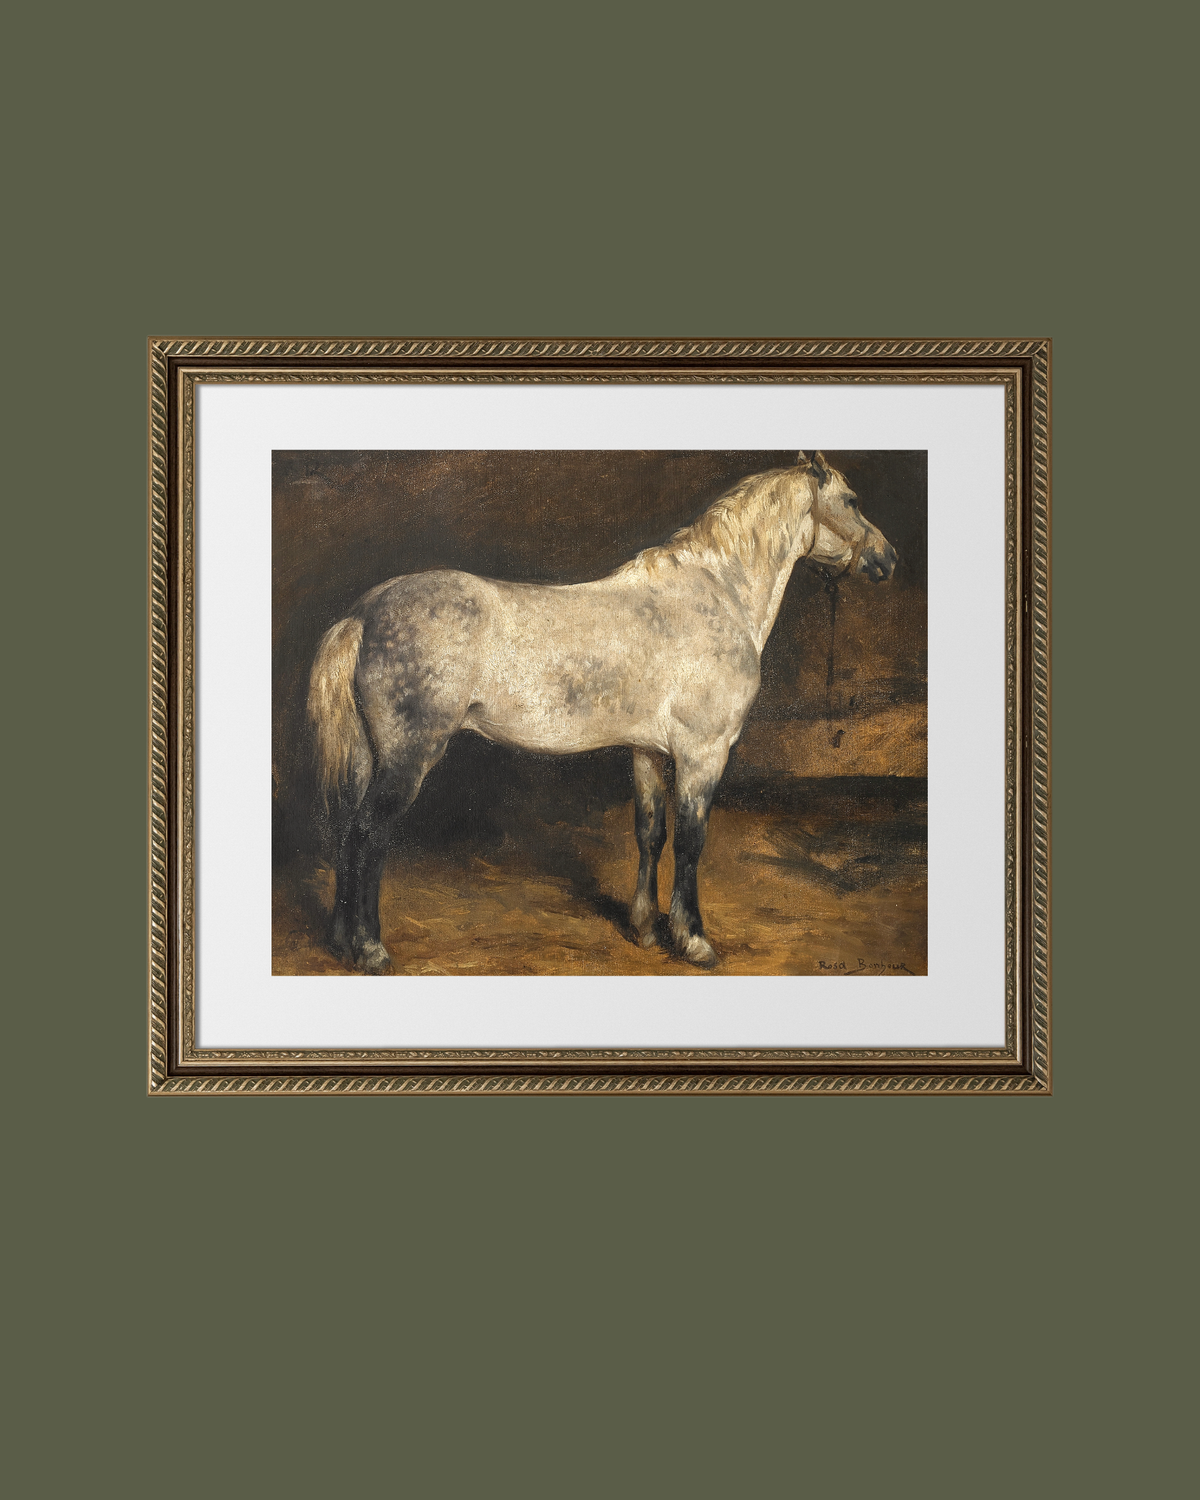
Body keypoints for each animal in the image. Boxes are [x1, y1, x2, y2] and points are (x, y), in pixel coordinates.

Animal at [307, 451, 897, 973]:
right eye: (851, 500)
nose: (888, 558)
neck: (716, 595)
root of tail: (363, 615)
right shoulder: (703, 753)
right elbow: (691, 840)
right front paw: (693, 940)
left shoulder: (647, 750)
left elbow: (651, 832)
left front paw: (644, 928)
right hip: (409, 756)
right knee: (367, 837)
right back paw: (370, 950)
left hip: (368, 755)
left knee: (344, 831)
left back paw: (340, 943)